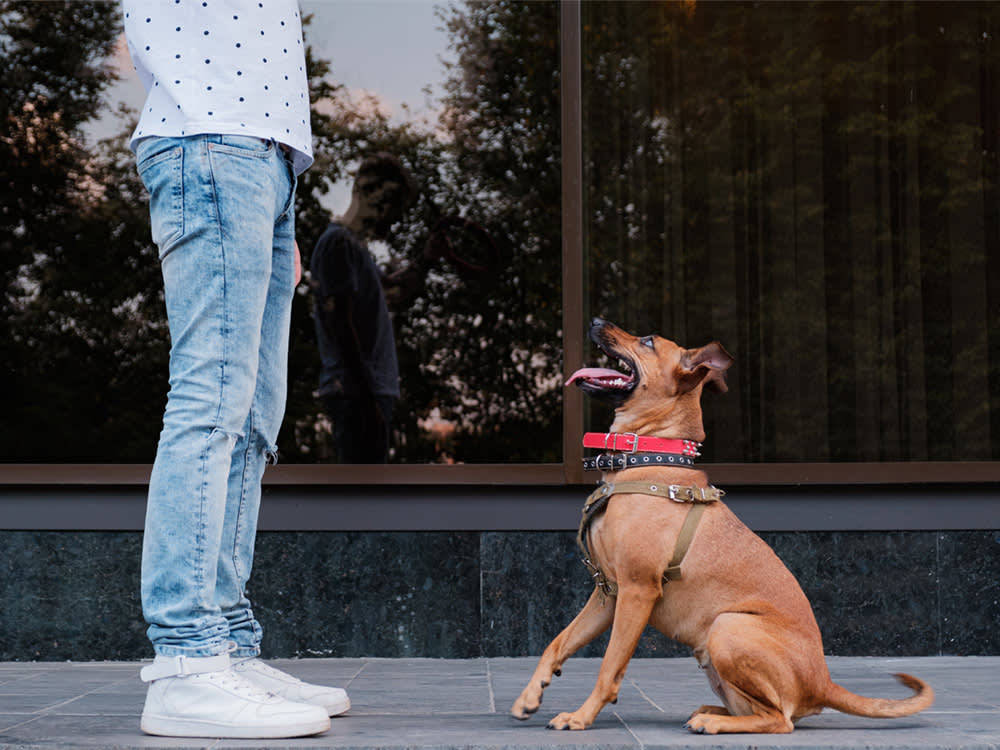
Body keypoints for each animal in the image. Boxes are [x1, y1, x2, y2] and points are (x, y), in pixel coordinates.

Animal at [512, 318, 932, 736]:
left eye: (647, 341)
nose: (596, 321)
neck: (647, 457)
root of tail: (824, 684)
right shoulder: (608, 593)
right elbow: (559, 642)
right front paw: (530, 695)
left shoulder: (637, 591)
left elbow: (609, 666)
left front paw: (580, 716)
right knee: (760, 710)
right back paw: (711, 711)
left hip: (728, 627)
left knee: (780, 720)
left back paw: (711, 722)